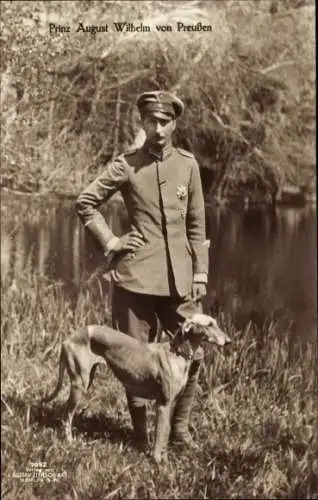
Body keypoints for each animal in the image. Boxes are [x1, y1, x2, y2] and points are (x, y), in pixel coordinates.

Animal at [42, 314, 231, 462]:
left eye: (215, 323)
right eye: (209, 325)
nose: (229, 341)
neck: (177, 353)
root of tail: (69, 338)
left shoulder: (171, 404)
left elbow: (165, 433)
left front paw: (164, 458)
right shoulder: (163, 405)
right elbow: (160, 436)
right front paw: (158, 462)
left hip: (86, 381)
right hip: (79, 385)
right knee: (66, 416)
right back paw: (69, 442)